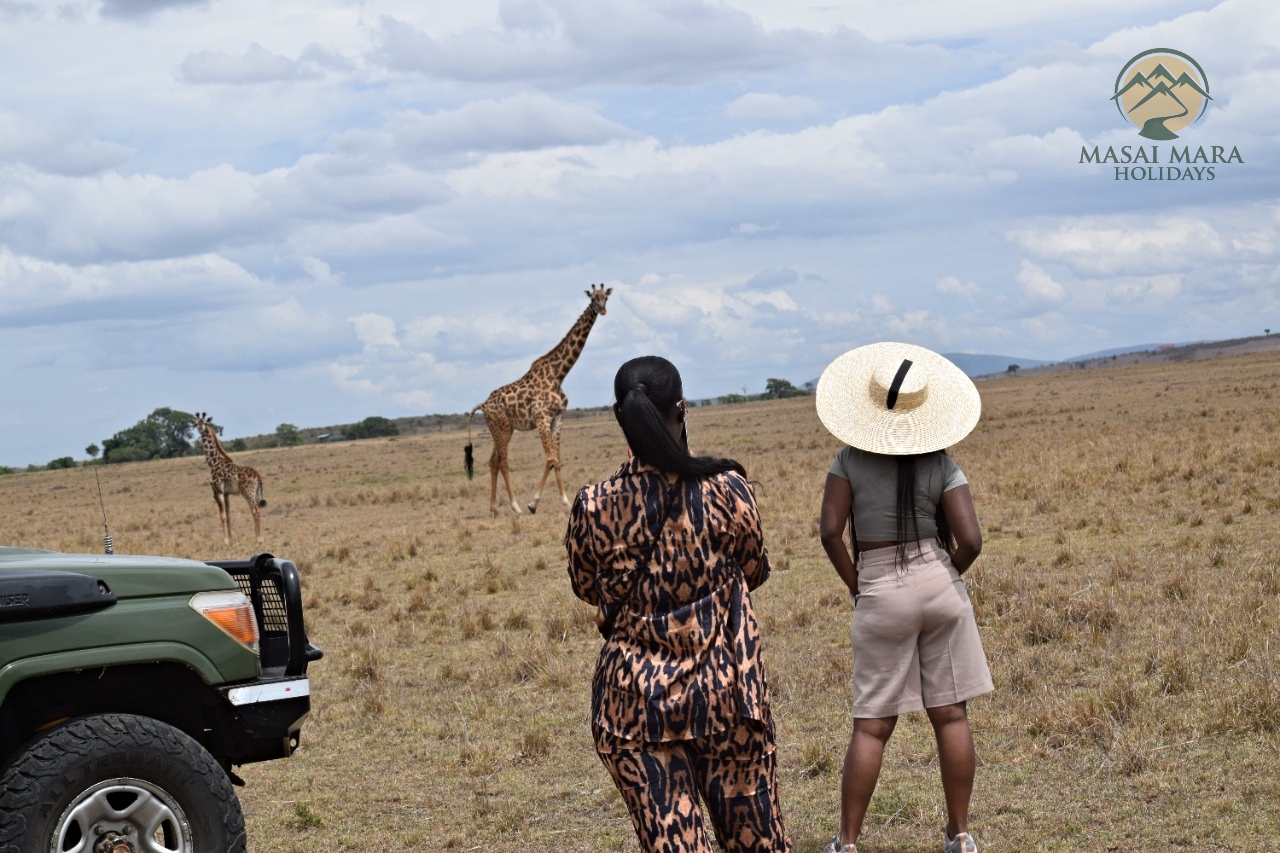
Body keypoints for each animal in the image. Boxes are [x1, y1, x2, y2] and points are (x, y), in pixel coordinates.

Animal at [190, 412, 266, 545]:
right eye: (196, 423)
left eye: (205, 423)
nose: (201, 428)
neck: (213, 462)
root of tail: (258, 475)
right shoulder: (226, 493)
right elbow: (229, 515)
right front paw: (230, 539)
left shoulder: (217, 491)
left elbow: (222, 515)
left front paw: (225, 540)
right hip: (256, 493)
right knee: (257, 510)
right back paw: (259, 537)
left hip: (247, 492)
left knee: (255, 510)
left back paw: (258, 539)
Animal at [465, 281, 614, 514]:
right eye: (592, 298)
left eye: (605, 298)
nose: (603, 310)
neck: (558, 374)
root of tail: (483, 405)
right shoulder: (542, 418)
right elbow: (551, 458)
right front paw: (532, 503)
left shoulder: (558, 418)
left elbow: (556, 460)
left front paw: (563, 501)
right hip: (502, 429)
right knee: (503, 462)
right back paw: (515, 506)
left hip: (501, 429)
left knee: (493, 461)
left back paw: (493, 508)